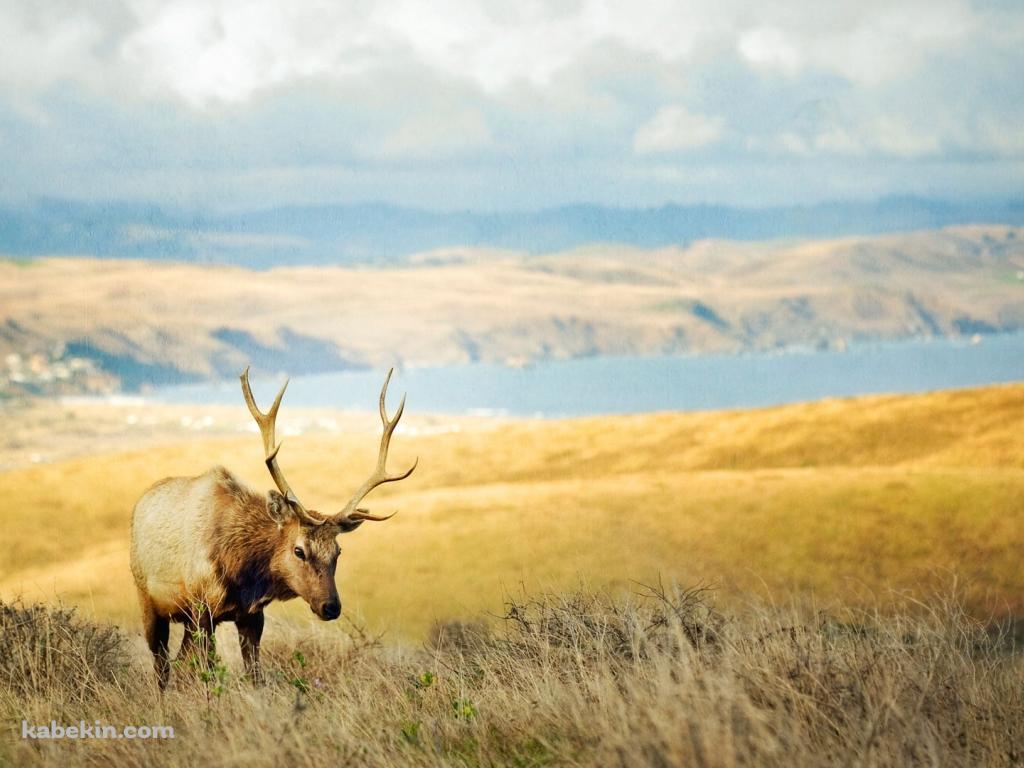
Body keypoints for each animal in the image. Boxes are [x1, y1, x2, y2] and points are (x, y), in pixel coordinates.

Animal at [129, 367, 416, 688]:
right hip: (148, 599)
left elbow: (255, 675)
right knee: (162, 666)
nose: (331, 606)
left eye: (338, 551)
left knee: (177, 661)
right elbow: (208, 674)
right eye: (299, 550)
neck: (242, 571)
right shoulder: (202, 609)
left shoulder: (251, 615)